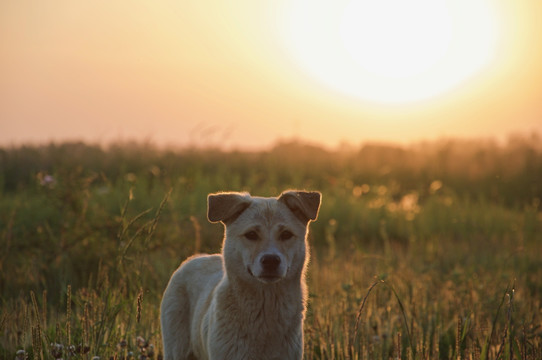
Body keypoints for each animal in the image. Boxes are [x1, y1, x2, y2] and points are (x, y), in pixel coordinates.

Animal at [162, 190, 324, 358]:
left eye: (286, 234)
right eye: (251, 234)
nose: (271, 260)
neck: (266, 307)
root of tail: (194, 258)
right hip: (175, 349)